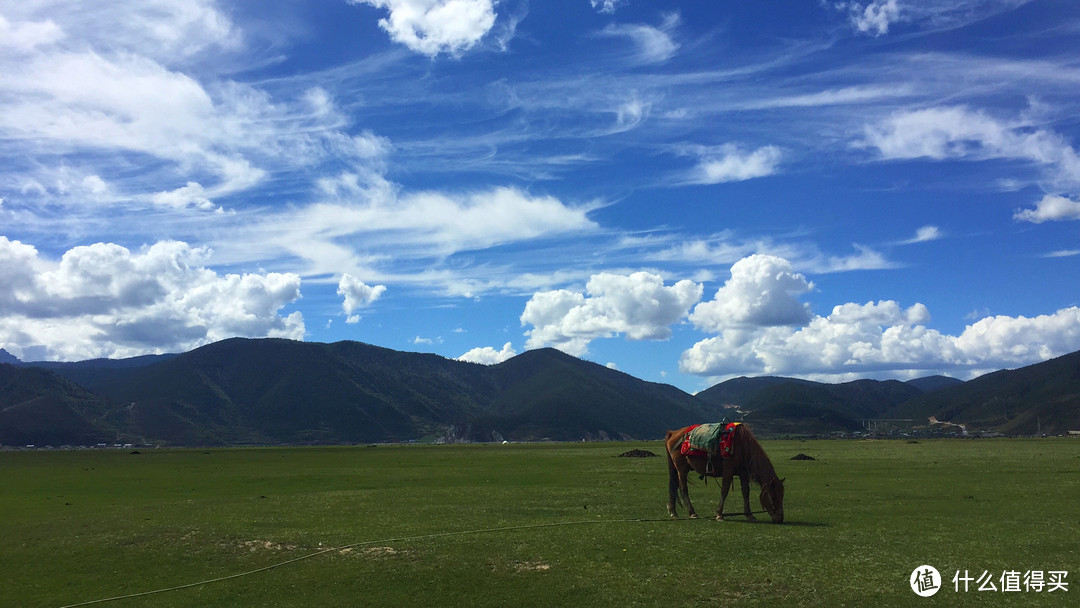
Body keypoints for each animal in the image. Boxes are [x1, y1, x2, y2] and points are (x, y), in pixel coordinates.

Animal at [656, 423, 786, 522]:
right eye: (773, 496)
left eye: (782, 495)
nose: (780, 518)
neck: (743, 446)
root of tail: (673, 433)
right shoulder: (728, 469)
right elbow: (725, 490)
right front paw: (719, 514)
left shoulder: (743, 473)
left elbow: (746, 492)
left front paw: (750, 515)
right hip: (681, 469)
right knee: (683, 488)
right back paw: (692, 513)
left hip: (676, 469)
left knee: (674, 486)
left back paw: (673, 512)